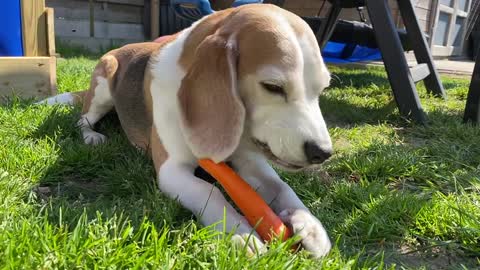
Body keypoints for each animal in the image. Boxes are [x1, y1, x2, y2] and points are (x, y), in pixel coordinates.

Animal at [41, 4, 334, 258]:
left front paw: (309, 225)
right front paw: (240, 233)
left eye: (322, 89)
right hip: (104, 84)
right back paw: (92, 136)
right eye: (272, 87)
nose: (322, 153)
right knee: (82, 120)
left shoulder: (250, 162)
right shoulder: (171, 170)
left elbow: (282, 187)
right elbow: (210, 192)